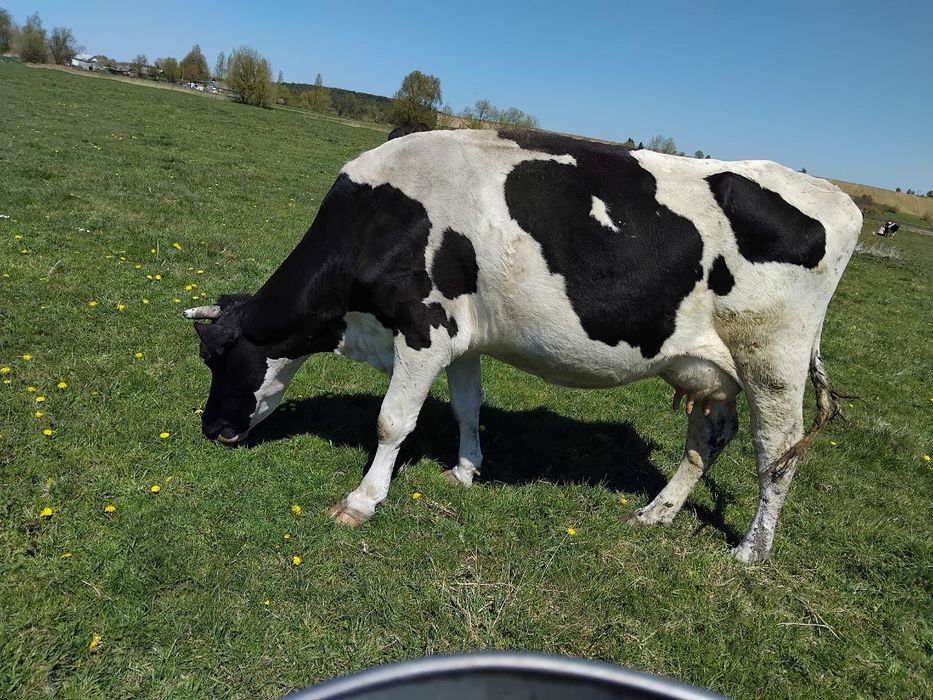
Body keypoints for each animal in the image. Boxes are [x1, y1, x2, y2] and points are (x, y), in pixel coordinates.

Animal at [185, 129, 862, 563]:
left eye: (218, 356)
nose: (211, 428)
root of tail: (837, 196)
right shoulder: (460, 336)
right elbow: (466, 406)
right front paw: (465, 470)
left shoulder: (422, 328)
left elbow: (392, 421)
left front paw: (362, 501)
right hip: (707, 367)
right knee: (707, 439)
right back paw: (657, 513)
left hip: (771, 360)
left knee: (776, 451)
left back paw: (752, 549)